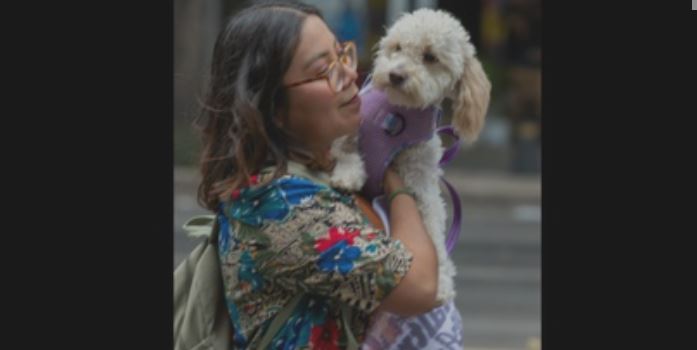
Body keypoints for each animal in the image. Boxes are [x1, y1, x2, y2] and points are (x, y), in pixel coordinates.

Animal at [330, 8, 490, 304]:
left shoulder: (421, 178)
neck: (396, 115)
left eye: (430, 57)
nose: (395, 75)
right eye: (397, 48)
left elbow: (432, 227)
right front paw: (349, 175)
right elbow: (345, 151)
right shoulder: (342, 129)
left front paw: (441, 281)